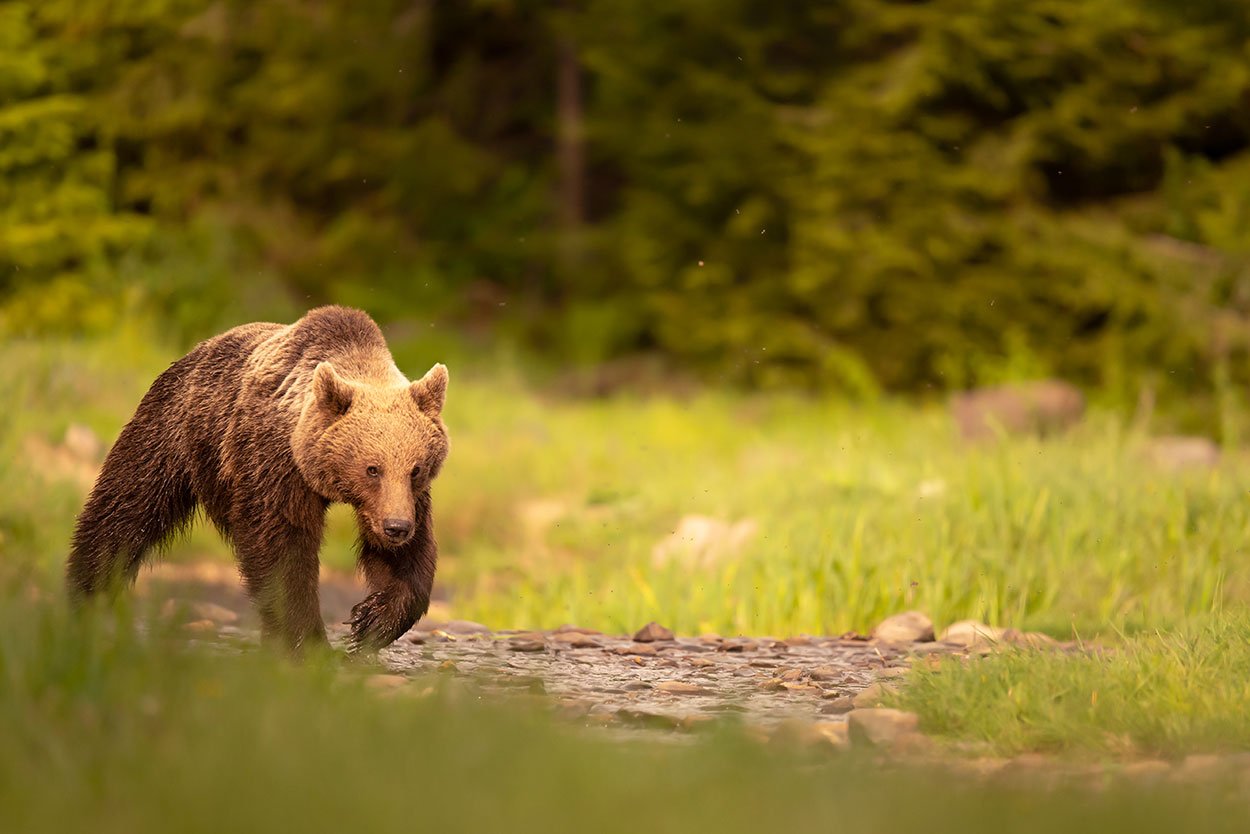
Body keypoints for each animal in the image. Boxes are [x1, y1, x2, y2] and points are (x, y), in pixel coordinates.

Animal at [67, 306, 450, 650]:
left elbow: (408, 558)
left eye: (415, 469)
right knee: (125, 509)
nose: (396, 527)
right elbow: (281, 548)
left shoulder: (407, 501)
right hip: (173, 431)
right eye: (372, 468)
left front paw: (371, 620)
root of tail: (196, 350)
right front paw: (308, 641)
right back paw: (84, 594)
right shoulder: (274, 464)